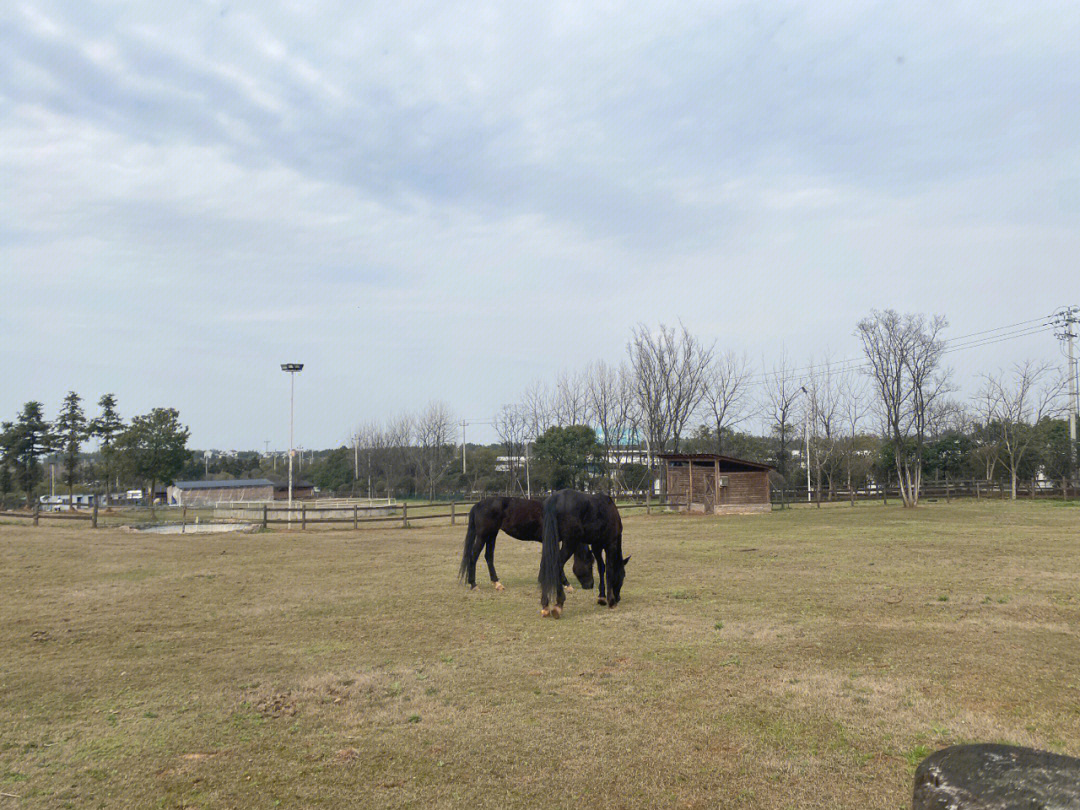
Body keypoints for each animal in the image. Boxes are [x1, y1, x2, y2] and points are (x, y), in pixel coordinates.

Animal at [455, 498, 591, 591]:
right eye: (590, 564)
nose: (590, 585)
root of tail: (478, 504)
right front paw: (566, 584)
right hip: (483, 536)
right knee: (473, 557)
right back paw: (473, 584)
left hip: (492, 535)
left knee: (488, 556)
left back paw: (497, 584)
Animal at [537, 488, 630, 622]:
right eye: (623, 576)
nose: (618, 598)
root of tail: (555, 498)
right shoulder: (610, 545)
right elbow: (609, 570)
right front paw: (610, 600)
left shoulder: (596, 546)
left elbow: (601, 568)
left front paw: (602, 597)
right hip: (570, 543)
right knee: (557, 565)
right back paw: (559, 603)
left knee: (546, 566)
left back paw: (545, 605)